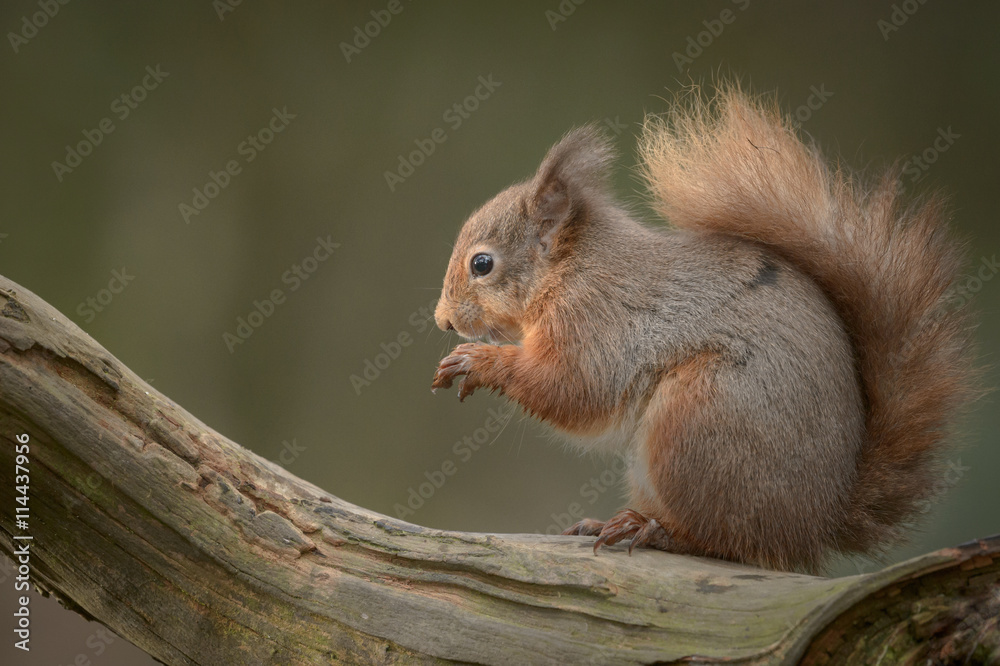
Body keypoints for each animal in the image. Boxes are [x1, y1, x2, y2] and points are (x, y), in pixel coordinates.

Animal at [430, 85, 975, 573]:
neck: (568, 267)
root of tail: (816, 523)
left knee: (725, 542)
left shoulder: (596, 319)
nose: (442, 320)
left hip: (700, 419)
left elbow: (574, 389)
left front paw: (478, 361)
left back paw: (652, 531)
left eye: (482, 264)